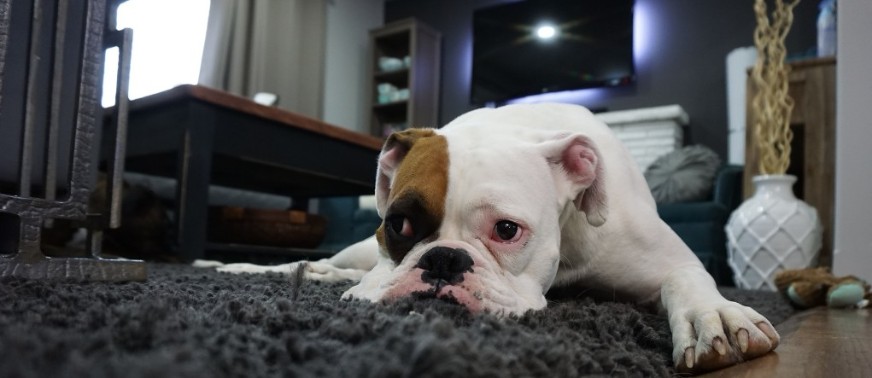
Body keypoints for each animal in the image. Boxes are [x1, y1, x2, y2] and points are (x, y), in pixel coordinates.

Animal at [208, 102, 780, 372]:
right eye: (398, 224)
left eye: (507, 230)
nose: (442, 260)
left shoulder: (670, 260)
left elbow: (689, 282)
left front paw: (715, 317)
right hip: (355, 250)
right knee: (330, 263)